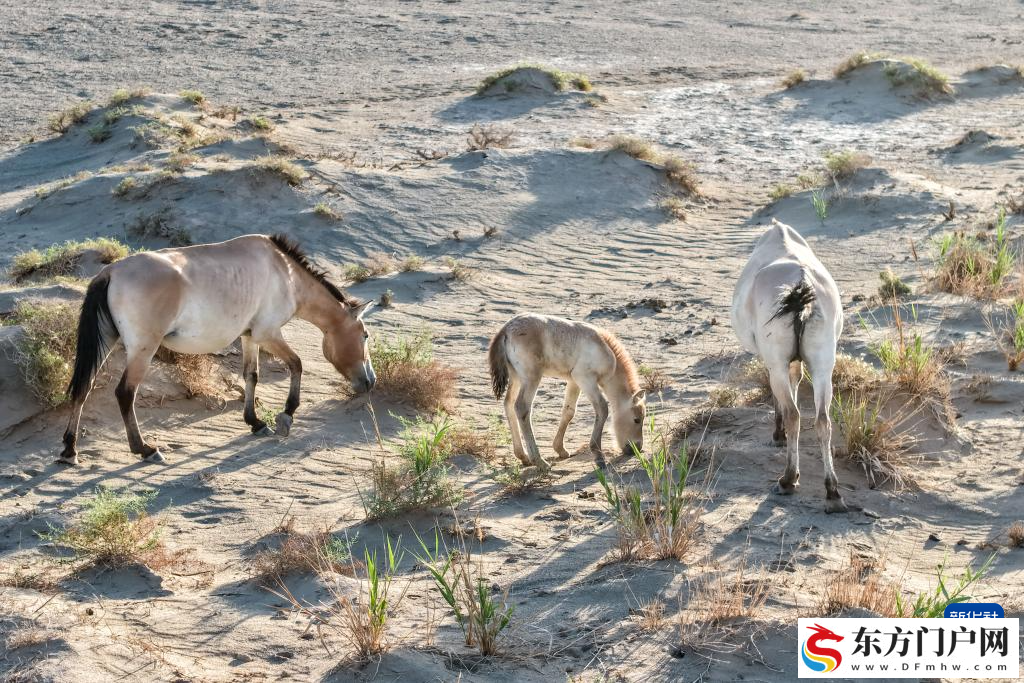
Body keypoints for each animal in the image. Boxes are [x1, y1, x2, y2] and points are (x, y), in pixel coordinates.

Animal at [59, 233, 375, 465]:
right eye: (365, 335)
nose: (369, 382)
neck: (284, 273)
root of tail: (111, 272)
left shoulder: (250, 337)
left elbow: (251, 376)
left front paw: (255, 422)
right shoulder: (268, 333)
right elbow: (297, 364)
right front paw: (286, 415)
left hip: (107, 340)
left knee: (83, 387)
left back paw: (69, 450)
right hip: (142, 350)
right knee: (125, 393)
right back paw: (145, 449)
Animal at [487, 313, 646, 475]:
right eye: (637, 420)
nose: (636, 448)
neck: (607, 351)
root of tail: (506, 329)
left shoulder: (574, 381)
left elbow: (569, 411)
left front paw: (560, 449)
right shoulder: (585, 378)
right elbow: (602, 409)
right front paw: (598, 456)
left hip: (516, 377)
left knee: (508, 404)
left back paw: (523, 456)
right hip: (531, 377)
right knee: (521, 407)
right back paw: (540, 462)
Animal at [731, 219, 848, 513]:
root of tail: (800, 284)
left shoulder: (775, 364)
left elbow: (782, 401)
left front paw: (778, 434)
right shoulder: (796, 364)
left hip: (778, 363)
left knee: (794, 414)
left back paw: (787, 479)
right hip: (823, 366)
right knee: (823, 421)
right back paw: (832, 491)